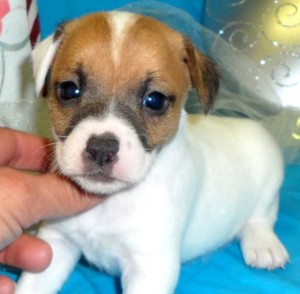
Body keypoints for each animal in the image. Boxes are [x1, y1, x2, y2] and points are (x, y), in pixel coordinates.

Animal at [15, 10, 288, 294]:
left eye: (155, 100)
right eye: (69, 90)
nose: (101, 149)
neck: (111, 203)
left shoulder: (150, 268)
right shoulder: (57, 244)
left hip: (270, 182)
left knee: (262, 216)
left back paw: (264, 245)